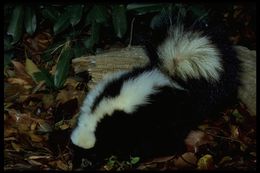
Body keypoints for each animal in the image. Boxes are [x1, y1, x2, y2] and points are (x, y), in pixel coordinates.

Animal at [70, 9, 241, 169]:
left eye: (90, 157)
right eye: (76, 155)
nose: (79, 166)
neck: (95, 119)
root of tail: (168, 77)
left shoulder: (124, 125)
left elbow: (126, 145)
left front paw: (125, 158)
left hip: (166, 116)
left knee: (171, 135)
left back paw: (169, 150)